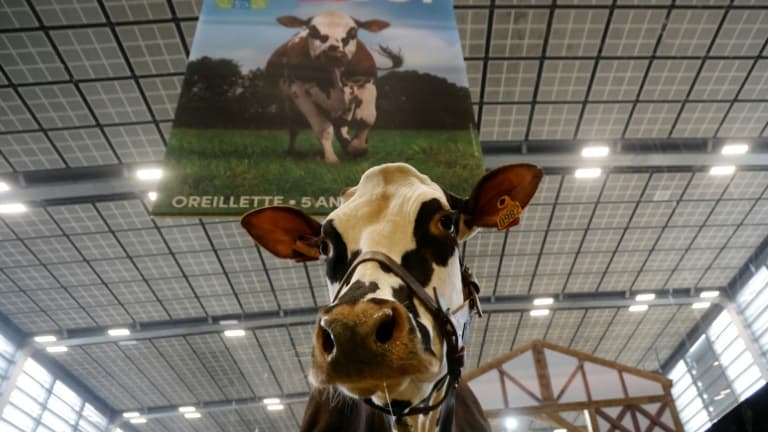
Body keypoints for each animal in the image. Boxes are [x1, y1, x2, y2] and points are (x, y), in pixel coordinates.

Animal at [265, 11, 402, 163]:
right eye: (313, 30)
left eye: (353, 32)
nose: (333, 53)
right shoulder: (299, 92)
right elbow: (322, 128)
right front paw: (331, 158)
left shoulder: (367, 84)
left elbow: (367, 119)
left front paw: (357, 147)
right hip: (289, 103)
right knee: (294, 127)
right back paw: (292, 151)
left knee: (341, 126)